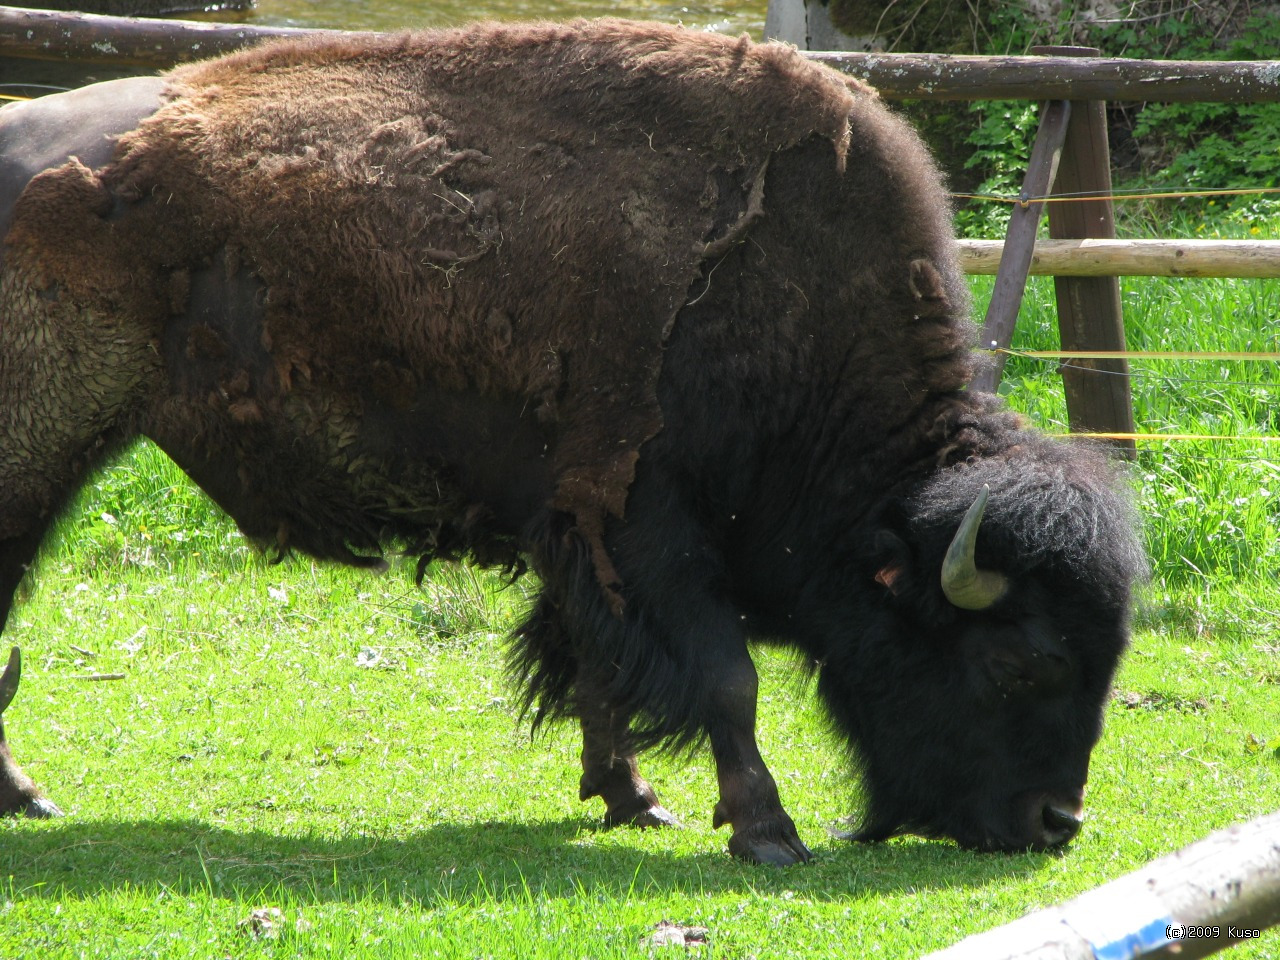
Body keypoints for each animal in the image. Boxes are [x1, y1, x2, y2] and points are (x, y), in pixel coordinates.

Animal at [0, 20, 1141, 865]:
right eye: (1021, 662)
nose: (1055, 826)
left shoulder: (579, 535)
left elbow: (597, 668)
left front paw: (632, 797)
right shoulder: (644, 524)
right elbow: (725, 679)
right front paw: (766, 833)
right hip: (38, 450)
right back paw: (29, 796)